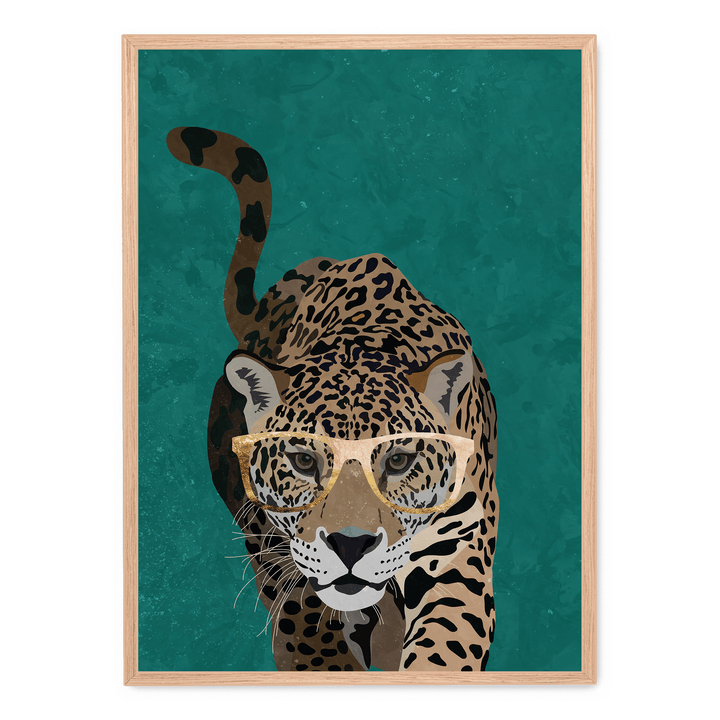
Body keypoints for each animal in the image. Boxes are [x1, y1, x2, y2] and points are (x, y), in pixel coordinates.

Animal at [166, 126, 499, 672]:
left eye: (400, 460)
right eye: (303, 461)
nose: (351, 544)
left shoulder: (458, 554)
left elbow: (445, 644)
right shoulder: (282, 558)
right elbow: (310, 634)